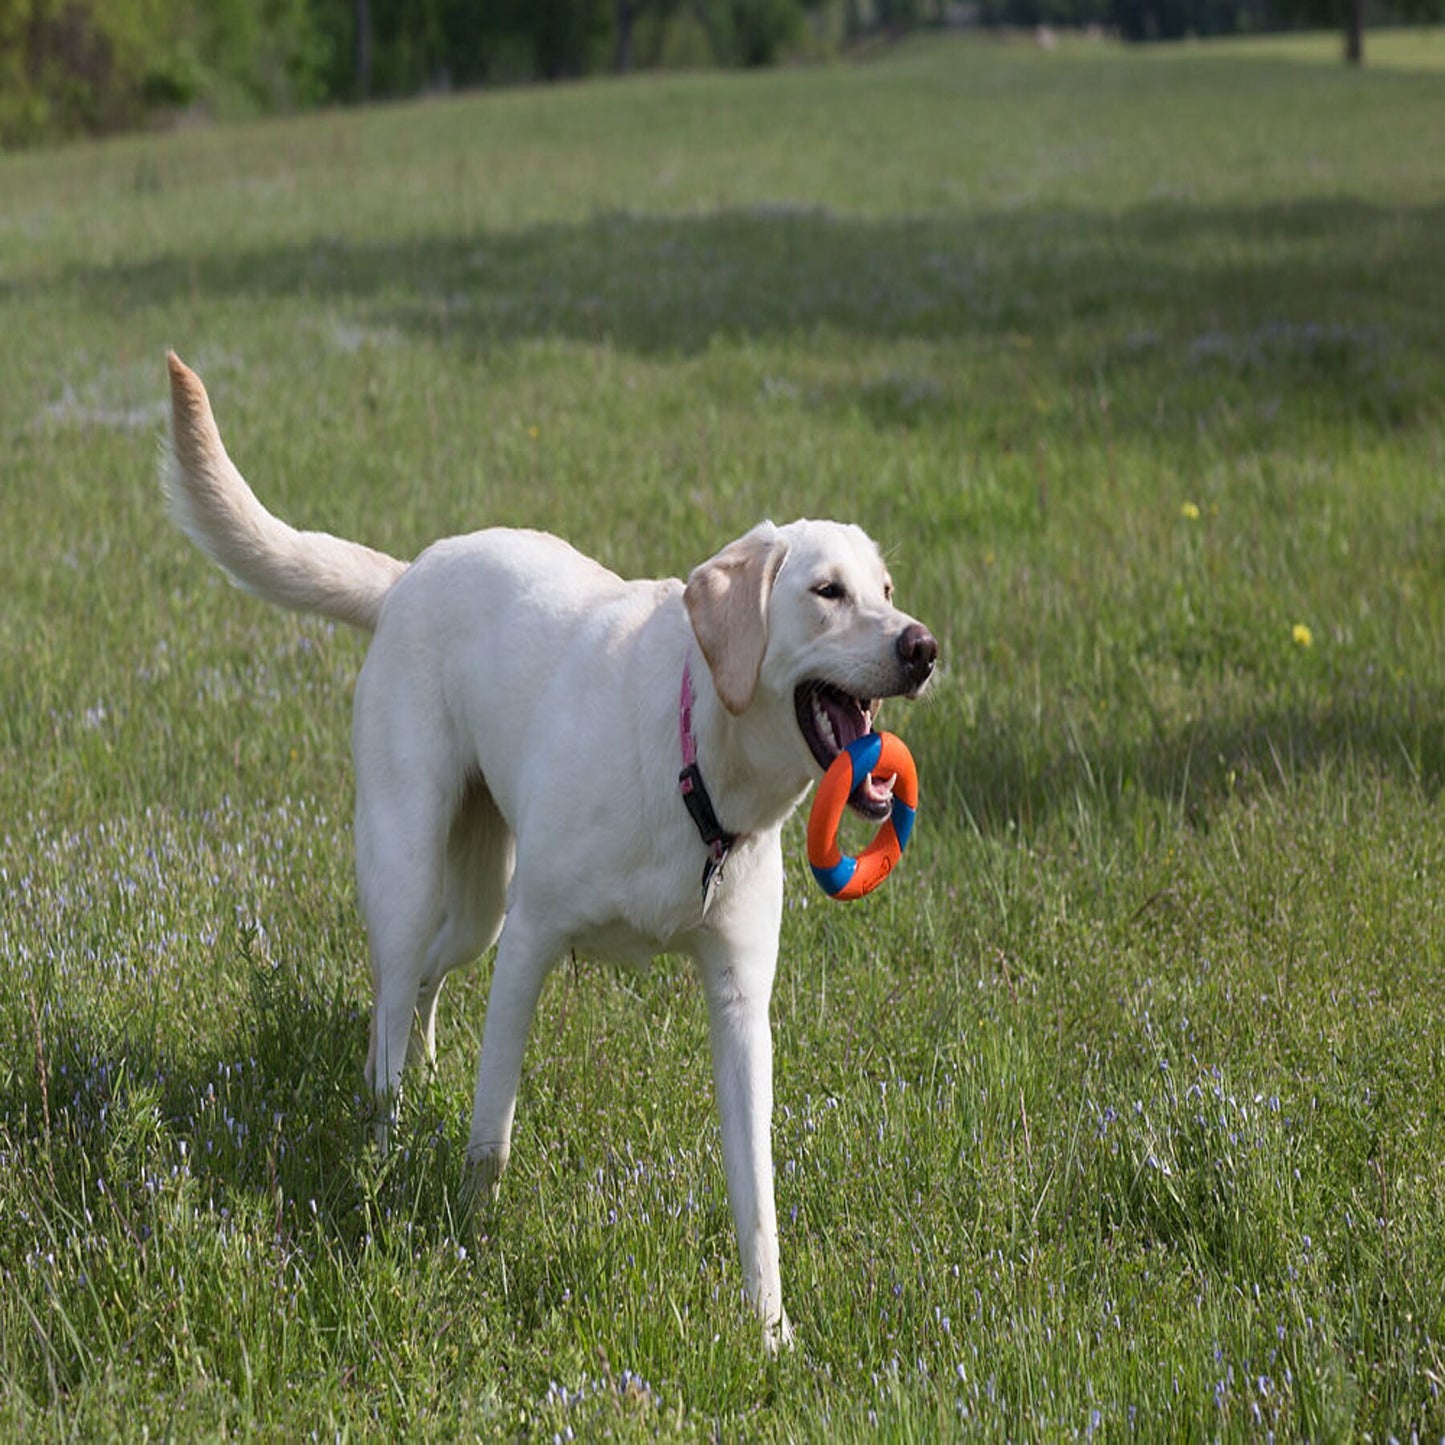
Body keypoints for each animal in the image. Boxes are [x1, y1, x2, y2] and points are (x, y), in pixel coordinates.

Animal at [164, 349, 942, 1340]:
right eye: (826, 591)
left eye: (885, 591)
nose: (923, 647)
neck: (696, 768)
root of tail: (410, 572)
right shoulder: (532, 940)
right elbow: (492, 1128)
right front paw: (467, 1240)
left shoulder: (738, 1000)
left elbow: (756, 1194)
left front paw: (769, 1330)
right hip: (416, 878)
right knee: (387, 1012)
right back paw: (382, 1144)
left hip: (477, 912)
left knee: (419, 989)